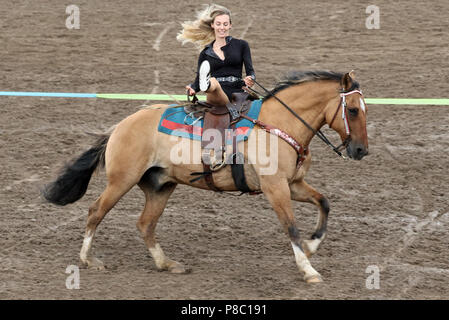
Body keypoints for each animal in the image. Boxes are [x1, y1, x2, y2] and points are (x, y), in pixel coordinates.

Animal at [43, 71, 370, 284]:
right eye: (353, 110)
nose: (361, 150)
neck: (278, 124)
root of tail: (121, 125)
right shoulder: (275, 187)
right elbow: (290, 226)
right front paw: (309, 270)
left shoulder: (294, 184)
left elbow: (324, 202)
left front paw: (313, 246)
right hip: (121, 181)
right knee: (95, 211)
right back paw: (88, 259)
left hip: (161, 186)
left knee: (145, 223)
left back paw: (167, 263)